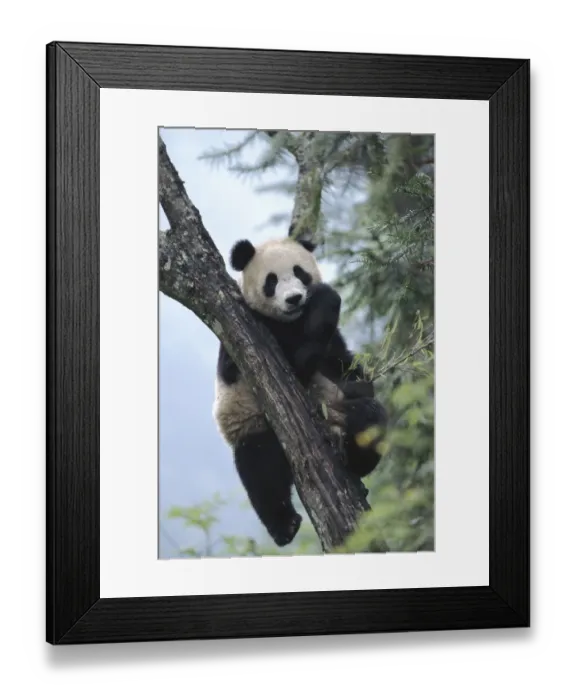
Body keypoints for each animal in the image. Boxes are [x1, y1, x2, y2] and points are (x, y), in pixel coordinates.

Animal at [213, 235, 388, 547]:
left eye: (299, 273)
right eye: (271, 281)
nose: (294, 298)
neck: (292, 319)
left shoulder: (334, 347)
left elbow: (345, 366)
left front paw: (358, 386)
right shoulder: (257, 334)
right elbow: (299, 361)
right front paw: (325, 300)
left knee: (372, 421)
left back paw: (356, 448)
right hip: (253, 419)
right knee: (262, 470)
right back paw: (284, 526)